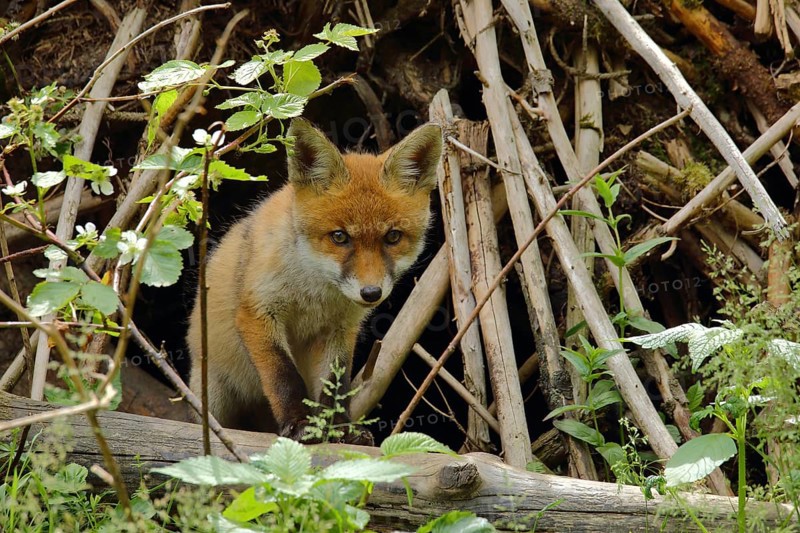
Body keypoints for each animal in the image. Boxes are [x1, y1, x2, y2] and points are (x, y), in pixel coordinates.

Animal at [187, 118, 442, 444]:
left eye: (393, 237)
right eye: (340, 237)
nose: (371, 293)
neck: (316, 293)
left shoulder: (341, 328)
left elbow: (335, 385)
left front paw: (339, 428)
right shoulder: (257, 312)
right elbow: (283, 375)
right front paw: (298, 422)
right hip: (212, 394)